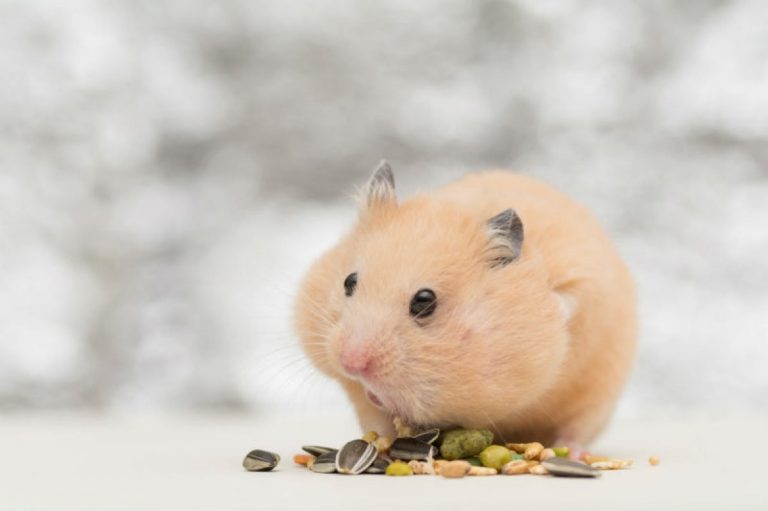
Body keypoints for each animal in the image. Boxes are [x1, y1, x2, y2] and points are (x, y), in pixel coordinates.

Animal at [294, 161, 636, 450]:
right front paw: (375, 397)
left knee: (576, 431)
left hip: (597, 399)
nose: (350, 363)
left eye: (424, 301)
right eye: (348, 282)